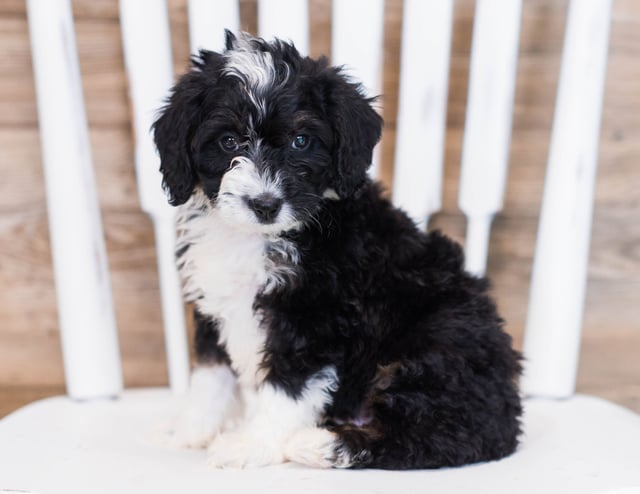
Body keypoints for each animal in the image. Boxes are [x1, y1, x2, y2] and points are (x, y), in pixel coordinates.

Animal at [152, 31, 524, 470]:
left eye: (301, 141)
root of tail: (507, 415)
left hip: (435, 346)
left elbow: (287, 385)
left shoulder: (315, 317)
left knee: (437, 434)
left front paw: (252, 443)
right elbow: (211, 375)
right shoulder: (214, 306)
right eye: (227, 142)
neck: (259, 235)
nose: (264, 204)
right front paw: (191, 431)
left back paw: (320, 444)